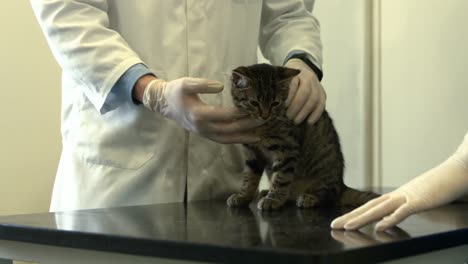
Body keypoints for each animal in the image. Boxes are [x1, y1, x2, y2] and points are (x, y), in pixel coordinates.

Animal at [226, 63, 376, 209]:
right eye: (254, 103)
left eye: (275, 103)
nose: (265, 115)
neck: (259, 128)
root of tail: (341, 186)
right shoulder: (251, 152)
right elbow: (249, 178)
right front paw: (243, 196)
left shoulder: (287, 149)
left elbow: (281, 178)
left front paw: (273, 199)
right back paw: (267, 192)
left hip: (324, 174)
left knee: (328, 196)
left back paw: (309, 198)